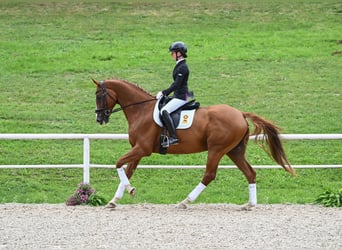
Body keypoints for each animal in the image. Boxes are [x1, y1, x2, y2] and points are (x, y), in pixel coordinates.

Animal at [92, 78, 296, 209]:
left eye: (99, 95)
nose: (99, 118)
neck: (141, 110)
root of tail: (240, 113)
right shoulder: (138, 150)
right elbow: (127, 171)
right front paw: (114, 200)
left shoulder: (142, 149)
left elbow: (119, 163)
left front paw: (130, 190)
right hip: (234, 151)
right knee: (250, 173)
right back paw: (250, 204)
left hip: (216, 149)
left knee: (209, 175)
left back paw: (185, 202)